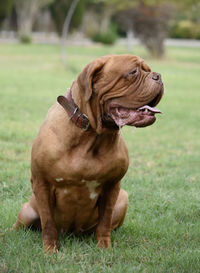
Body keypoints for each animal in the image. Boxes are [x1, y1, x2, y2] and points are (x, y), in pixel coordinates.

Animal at [14, 54, 164, 252]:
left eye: (148, 69)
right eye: (133, 72)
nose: (158, 76)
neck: (91, 134)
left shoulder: (112, 186)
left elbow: (105, 221)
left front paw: (104, 248)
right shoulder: (41, 182)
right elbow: (48, 222)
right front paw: (50, 250)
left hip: (123, 198)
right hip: (27, 211)